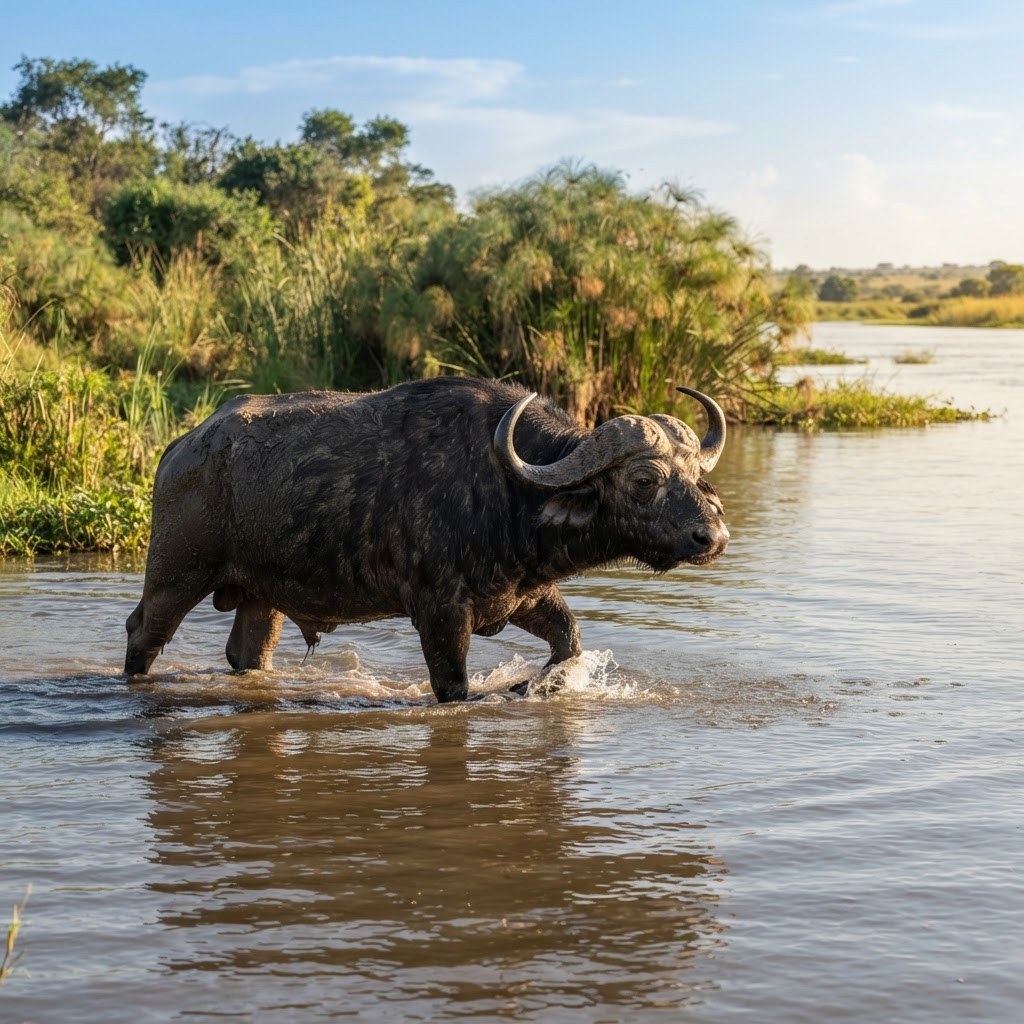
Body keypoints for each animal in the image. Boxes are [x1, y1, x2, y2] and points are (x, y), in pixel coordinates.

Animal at [124, 377, 729, 701]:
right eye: (645, 480)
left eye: (695, 474)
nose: (714, 536)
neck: (507, 492)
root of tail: (185, 444)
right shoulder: (441, 614)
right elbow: (453, 687)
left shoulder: (524, 597)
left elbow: (569, 644)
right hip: (176, 572)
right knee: (143, 633)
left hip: (261, 597)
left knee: (247, 653)